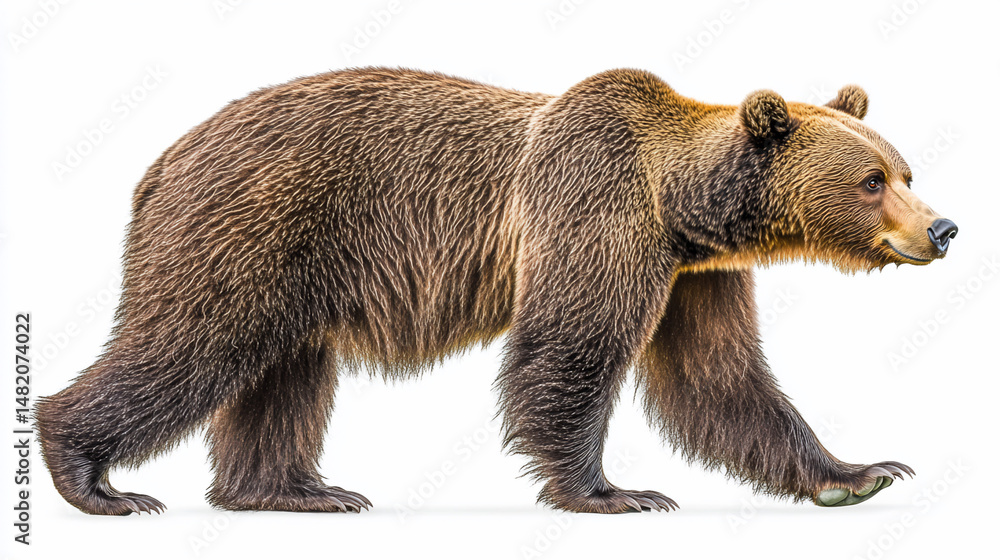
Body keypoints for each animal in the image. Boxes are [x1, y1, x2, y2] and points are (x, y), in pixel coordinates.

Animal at [35, 67, 958, 515]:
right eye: (872, 180)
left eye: (905, 170)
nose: (943, 228)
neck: (681, 207)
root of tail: (160, 162)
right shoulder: (595, 211)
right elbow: (570, 351)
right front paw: (615, 492)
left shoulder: (697, 277)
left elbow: (720, 380)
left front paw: (860, 472)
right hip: (248, 228)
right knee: (188, 346)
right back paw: (94, 478)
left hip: (294, 271)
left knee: (283, 377)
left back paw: (299, 492)